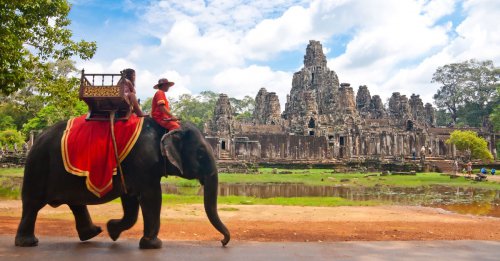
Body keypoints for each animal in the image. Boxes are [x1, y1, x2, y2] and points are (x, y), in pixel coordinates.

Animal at [15, 117, 230, 248]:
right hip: (38, 167)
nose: (222, 241)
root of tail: (37, 137)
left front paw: (113, 230)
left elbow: (131, 202)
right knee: (32, 204)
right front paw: (153, 245)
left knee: (75, 203)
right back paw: (28, 242)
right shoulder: (143, 163)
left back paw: (92, 233)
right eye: (200, 154)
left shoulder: (132, 171)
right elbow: (152, 197)